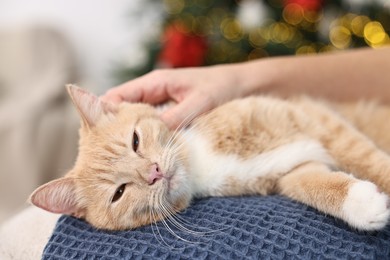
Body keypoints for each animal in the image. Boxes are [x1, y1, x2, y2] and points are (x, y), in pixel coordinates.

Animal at [29, 85, 390, 230]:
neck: (201, 160)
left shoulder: (315, 118)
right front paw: (362, 204)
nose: (154, 172)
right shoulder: (294, 170)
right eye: (119, 192)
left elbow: (368, 158)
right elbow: (317, 186)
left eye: (135, 141)